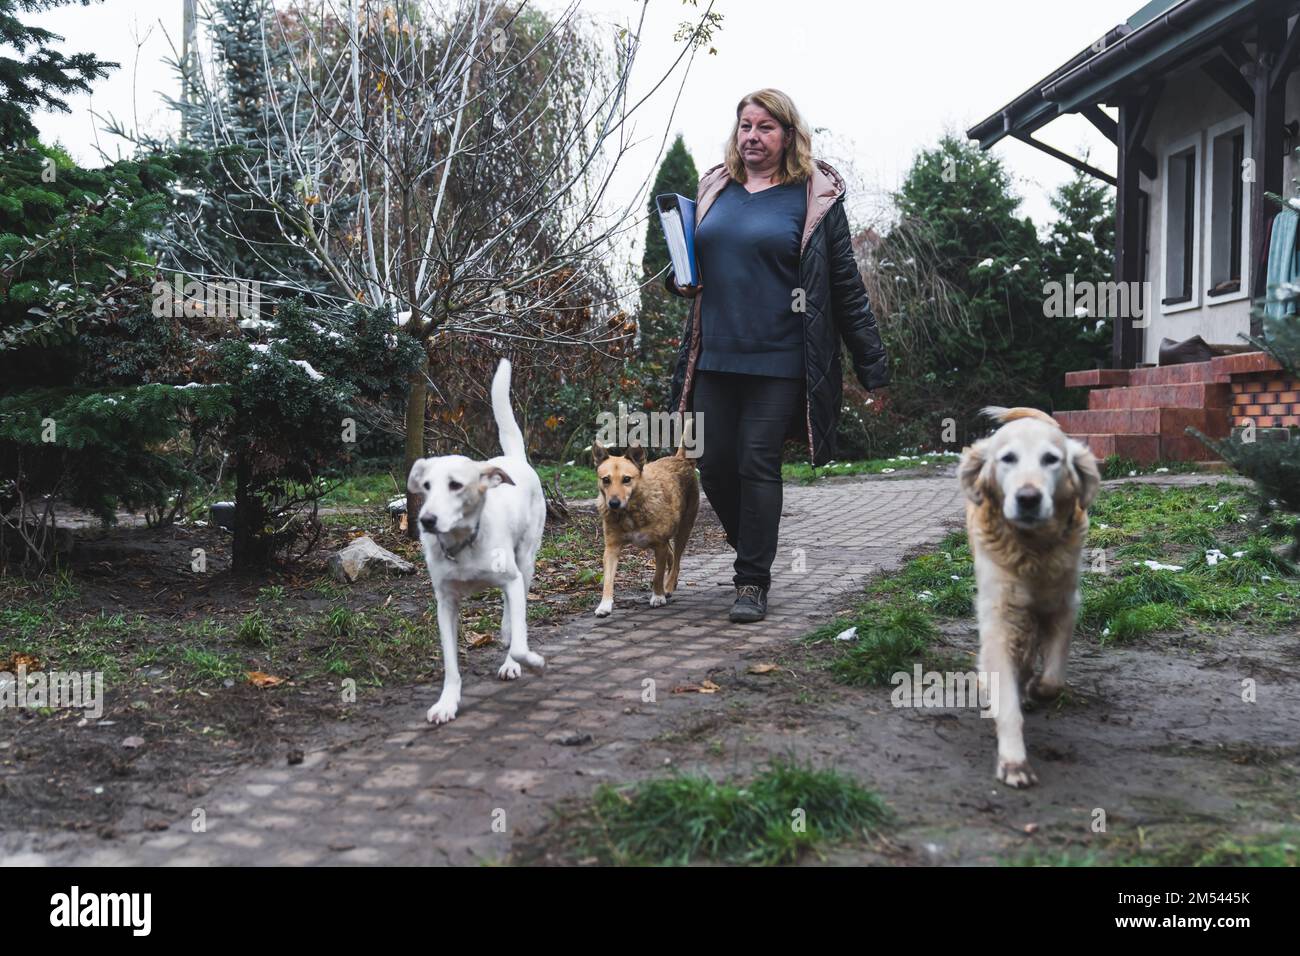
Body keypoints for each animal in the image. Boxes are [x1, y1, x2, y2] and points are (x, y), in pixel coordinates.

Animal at [408, 358, 546, 723]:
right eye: (426, 486)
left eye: (456, 485)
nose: (426, 520)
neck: (463, 543)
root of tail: (514, 460)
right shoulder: (445, 603)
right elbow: (450, 664)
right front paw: (447, 702)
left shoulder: (511, 578)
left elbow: (520, 643)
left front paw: (529, 660)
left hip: (525, 561)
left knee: (515, 605)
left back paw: (511, 650)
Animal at [595, 442, 702, 621]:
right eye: (606, 480)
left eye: (626, 479)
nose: (613, 503)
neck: (630, 512)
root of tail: (680, 458)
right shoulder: (611, 548)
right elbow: (608, 580)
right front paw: (604, 605)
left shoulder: (659, 545)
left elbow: (657, 575)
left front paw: (658, 596)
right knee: (671, 555)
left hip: (684, 529)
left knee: (677, 559)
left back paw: (669, 585)